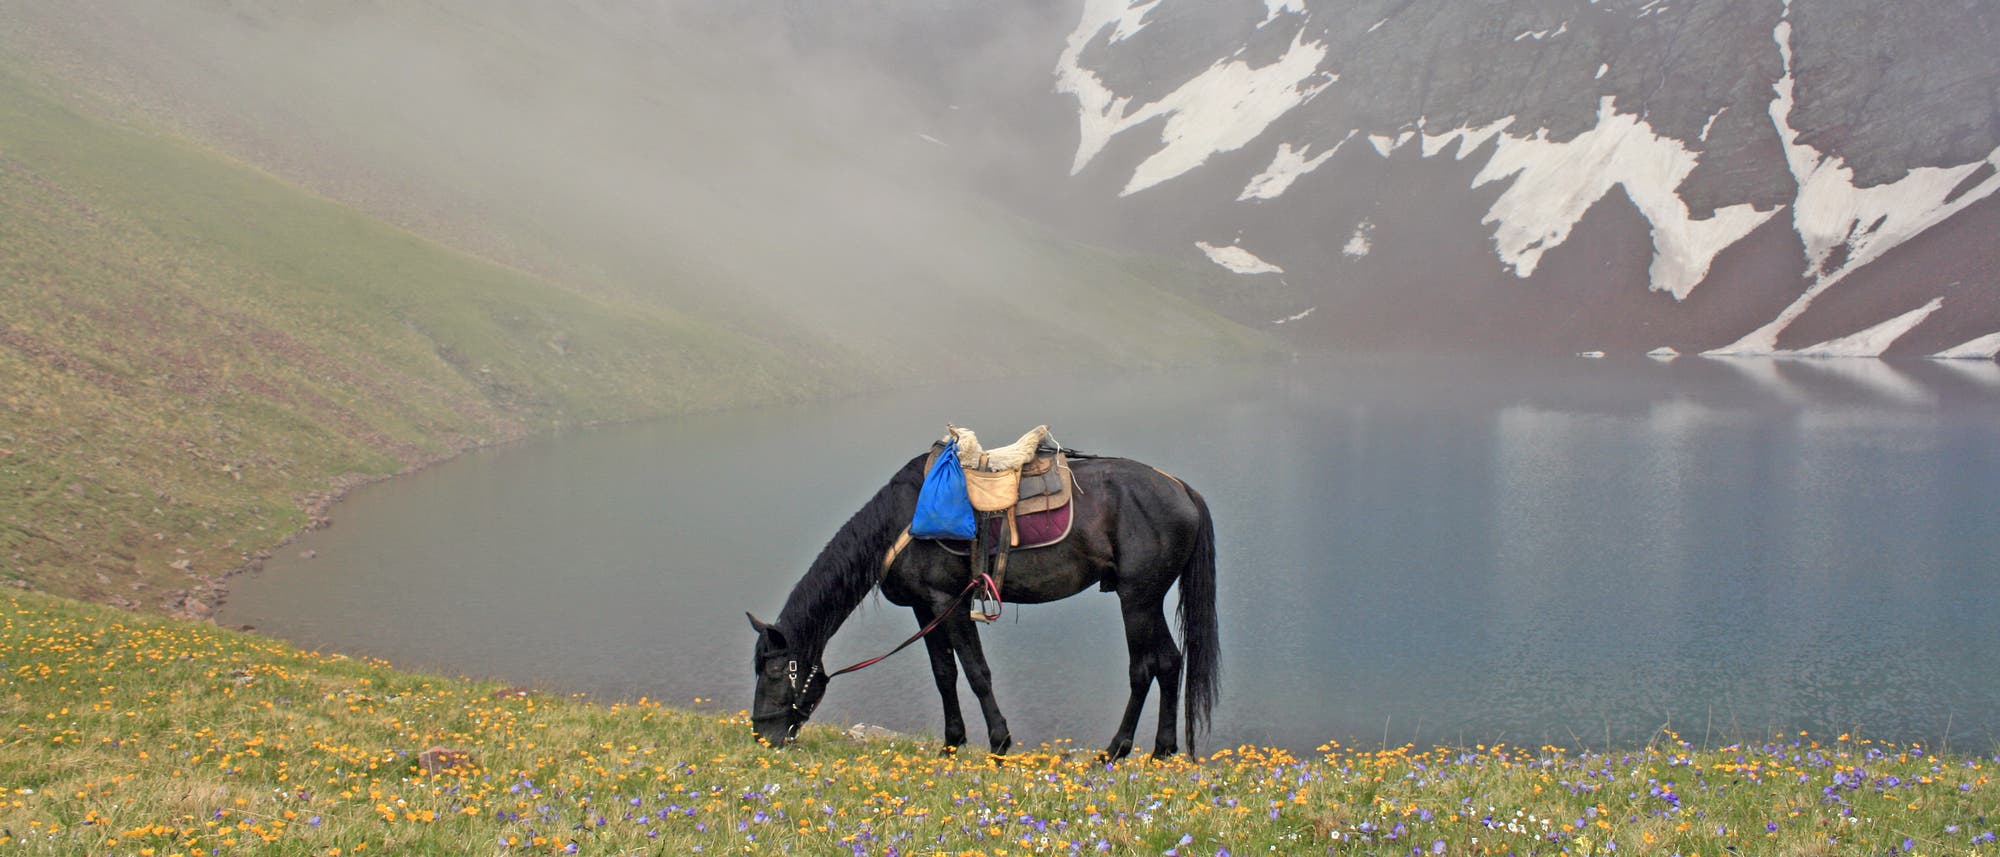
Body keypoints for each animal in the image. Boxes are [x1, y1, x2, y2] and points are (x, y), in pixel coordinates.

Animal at [745, 447, 1218, 760]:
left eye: (775, 670)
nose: (762, 736)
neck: (902, 521)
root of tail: (1181, 488)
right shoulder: (925, 608)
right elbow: (944, 674)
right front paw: (952, 743)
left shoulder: (948, 601)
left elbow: (976, 673)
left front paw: (998, 742)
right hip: (1147, 598)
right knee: (1170, 662)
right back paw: (1162, 750)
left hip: (1136, 599)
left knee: (1143, 668)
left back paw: (1116, 749)